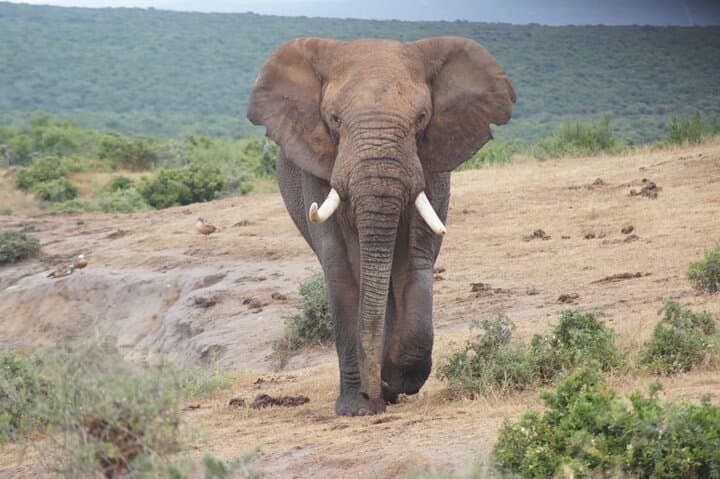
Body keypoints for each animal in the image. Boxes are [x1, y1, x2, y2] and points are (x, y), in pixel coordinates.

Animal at [247, 36, 515, 416]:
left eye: (421, 118)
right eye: (334, 119)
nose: (375, 391)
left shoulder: (429, 165)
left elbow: (414, 260)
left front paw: (393, 382)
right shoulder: (318, 165)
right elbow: (341, 268)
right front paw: (358, 407)